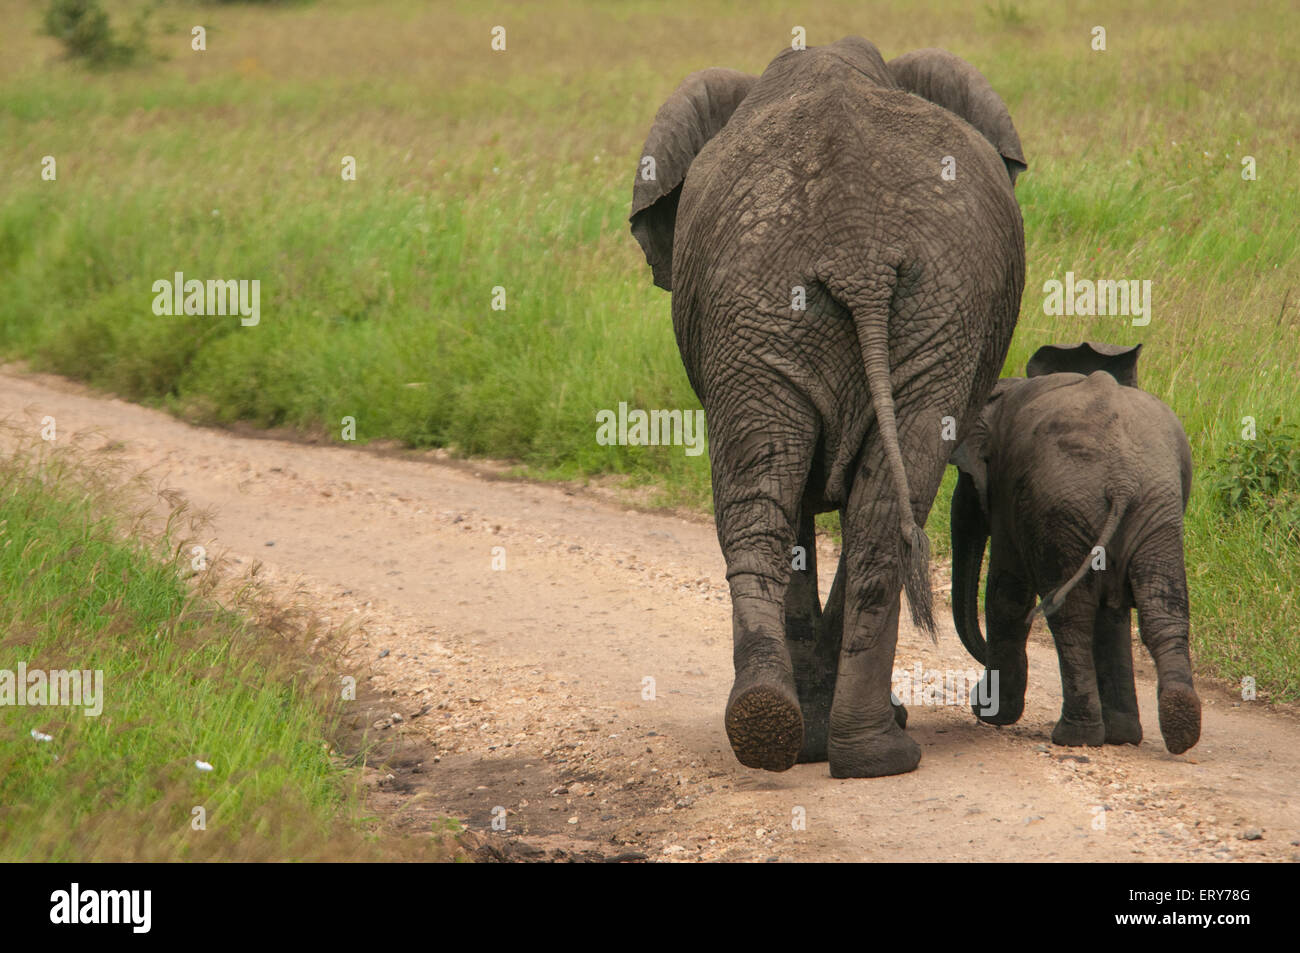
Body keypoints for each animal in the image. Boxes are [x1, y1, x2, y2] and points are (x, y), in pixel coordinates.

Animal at [626, 39, 1024, 780]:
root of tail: (858, 251)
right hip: (800, 310)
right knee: (841, 509)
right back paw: (852, 746)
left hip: (820, 310)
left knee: (783, 506)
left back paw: (800, 735)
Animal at [951, 340, 1201, 748]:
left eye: (965, 477)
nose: (974, 695)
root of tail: (1122, 478)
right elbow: (1113, 613)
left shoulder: (1007, 493)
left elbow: (1007, 597)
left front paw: (992, 715)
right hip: (1153, 504)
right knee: (1161, 608)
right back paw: (1173, 725)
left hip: (1065, 504)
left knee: (1071, 615)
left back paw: (1075, 736)